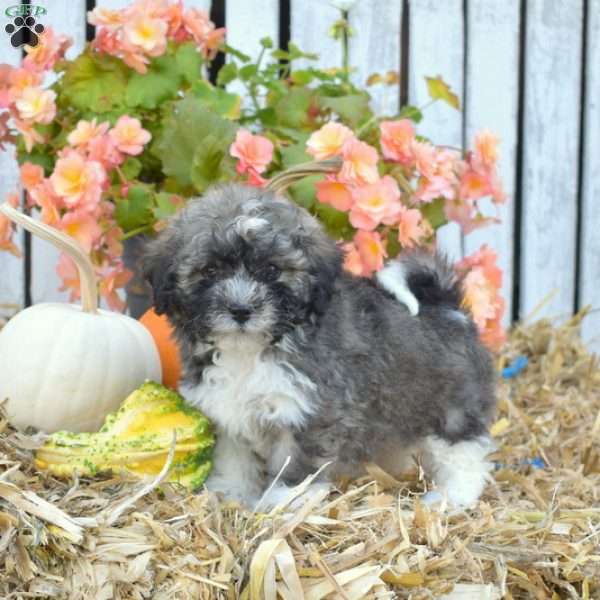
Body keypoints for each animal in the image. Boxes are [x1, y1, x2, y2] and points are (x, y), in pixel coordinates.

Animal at [142, 183, 496, 506]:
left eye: (272, 269)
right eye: (210, 269)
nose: (240, 310)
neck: (250, 350)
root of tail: (447, 307)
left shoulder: (308, 411)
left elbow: (295, 464)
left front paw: (283, 503)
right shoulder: (226, 409)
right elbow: (233, 457)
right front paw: (231, 493)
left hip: (451, 409)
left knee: (463, 452)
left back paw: (452, 497)